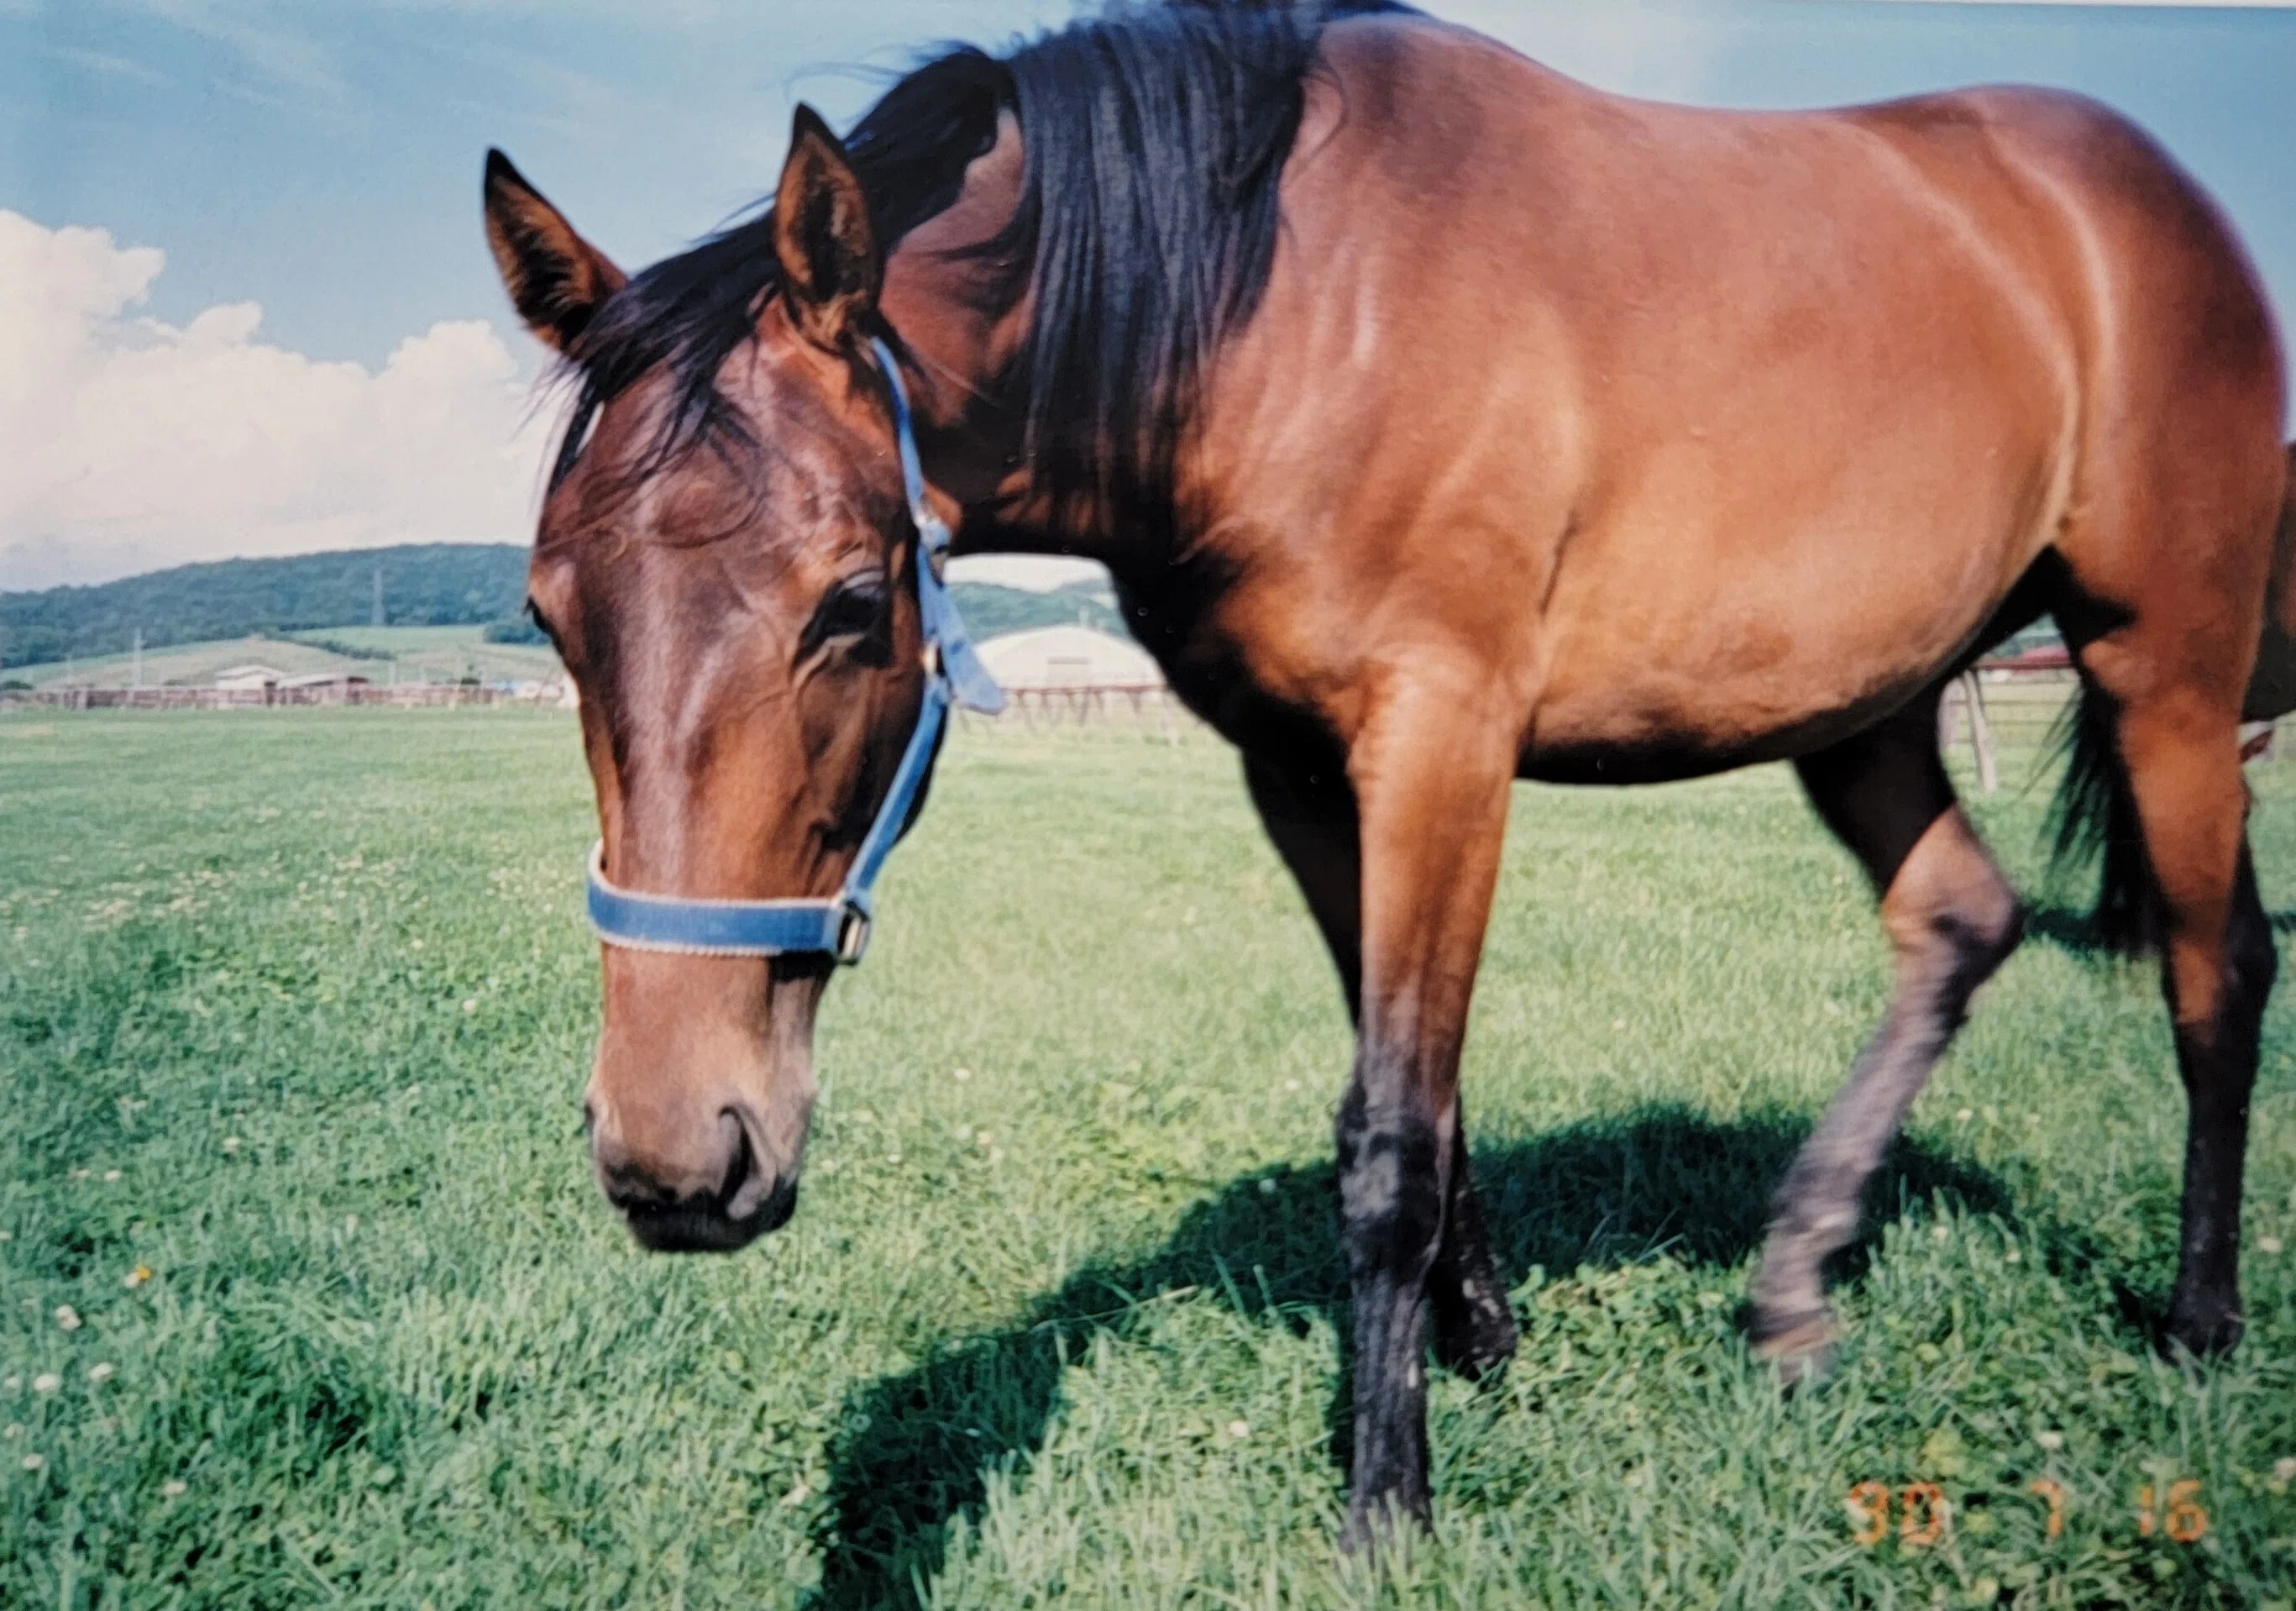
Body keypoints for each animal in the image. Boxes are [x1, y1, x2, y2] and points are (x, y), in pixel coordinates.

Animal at [482, 0, 2293, 1543]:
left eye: (852, 602)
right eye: (549, 612)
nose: (674, 1155)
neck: (1269, 308)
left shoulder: (1440, 740)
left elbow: (1392, 1130)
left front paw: (1384, 1489)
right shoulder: (1298, 771)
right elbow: (1417, 1086)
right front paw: (1478, 1343)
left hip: (2163, 669)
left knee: (2214, 969)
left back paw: (2196, 1321)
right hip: (1867, 701)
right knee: (1958, 920)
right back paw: (1788, 1295)